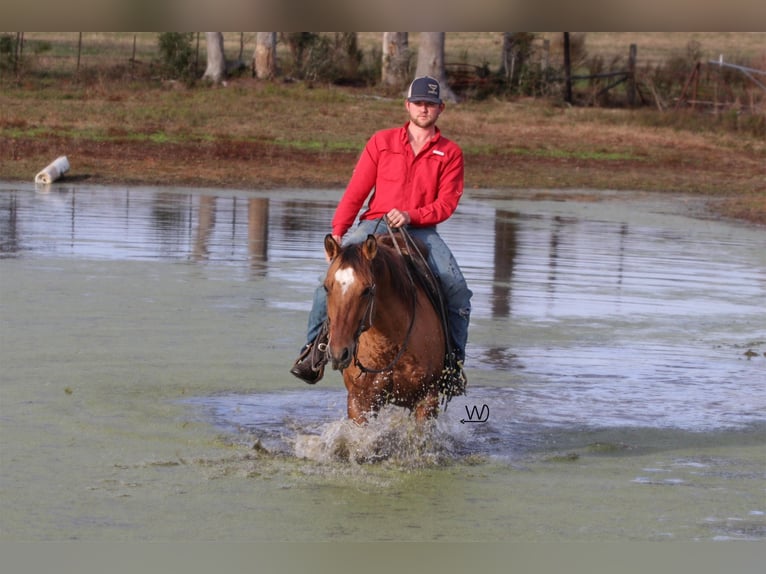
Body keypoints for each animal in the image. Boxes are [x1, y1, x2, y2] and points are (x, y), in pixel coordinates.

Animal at [324, 232, 450, 426]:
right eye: (326, 287)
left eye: (367, 290)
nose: (339, 353)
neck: (389, 343)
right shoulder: (359, 400)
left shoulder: (428, 398)